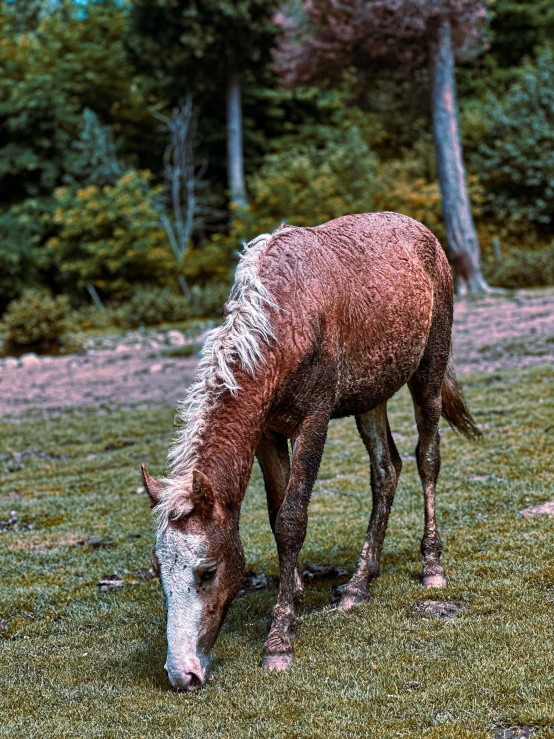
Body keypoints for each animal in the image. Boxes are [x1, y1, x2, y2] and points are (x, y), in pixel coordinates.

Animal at [141, 211, 478, 692]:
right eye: (158, 569)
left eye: (207, 570)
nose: (181, 673)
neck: (282, 320)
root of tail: (423, 232)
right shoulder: (266, 432)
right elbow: (276, 511)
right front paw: (297, 593)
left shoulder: (313, 420)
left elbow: (292, 520)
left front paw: (279, 639)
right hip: (370, 396)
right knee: (386, 469)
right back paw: (358, 584)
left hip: (428, 373)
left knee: (426, 458)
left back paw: (432, 565)